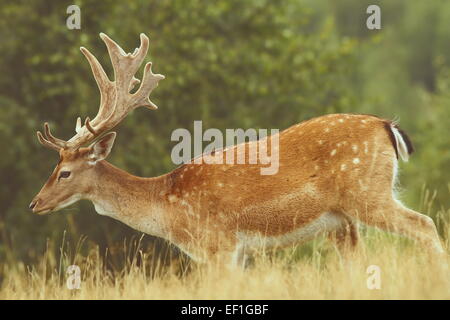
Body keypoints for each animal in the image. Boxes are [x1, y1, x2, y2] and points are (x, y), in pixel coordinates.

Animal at [29, 33, 444, 268]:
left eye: (64, 172)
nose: (35, 203)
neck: (167, 208)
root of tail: (386, 125)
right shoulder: (238, 252)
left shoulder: (219, 244)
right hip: (344, 222)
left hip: (367, 194)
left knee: (424, 224)